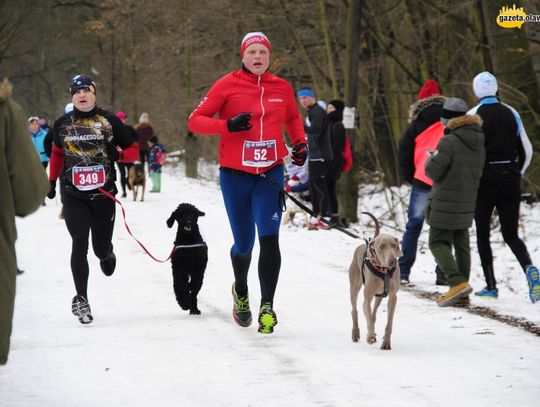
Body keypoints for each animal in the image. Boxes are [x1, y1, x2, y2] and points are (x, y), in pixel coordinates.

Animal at [350, 214, 400, 350]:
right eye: (382, 247)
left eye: (394, 245)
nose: (393, 261)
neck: (384, 272)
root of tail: (366, 244)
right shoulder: (367, 298)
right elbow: (366, 313)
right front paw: (370, 336)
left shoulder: (393, 297)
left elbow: (389, 322)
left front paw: (386, 342)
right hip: (354, 287)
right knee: (355, 309)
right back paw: (356, 332)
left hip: (380, 295)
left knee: (374, 311)